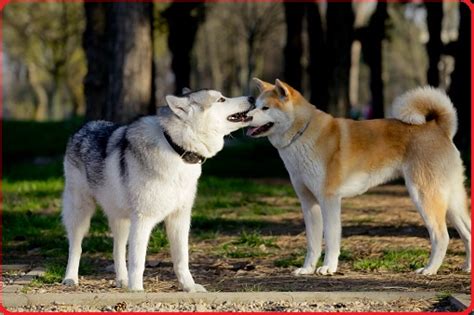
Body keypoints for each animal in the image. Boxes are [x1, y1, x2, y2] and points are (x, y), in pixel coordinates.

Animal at [64, 89, 256, 292]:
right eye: (221, 99)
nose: (252, 97)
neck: (176, 149)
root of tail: (85, 126)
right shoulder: (143, 221)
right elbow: (138, 262)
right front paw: (137, 290)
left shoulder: (179, 219)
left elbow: (181, 259)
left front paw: (189, 287)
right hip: (81, 213)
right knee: (76, 247)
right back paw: (70, 278)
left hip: (121, 220)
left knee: (117, 250)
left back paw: (122, 280)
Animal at [248, 78, 470, 276]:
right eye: (255, 106)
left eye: (265, 108)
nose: (246, 117)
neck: (302, 134)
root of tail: (440, 128)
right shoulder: (308, 202)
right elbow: (312, 243)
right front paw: (307, 269)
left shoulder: (329, 200)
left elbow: (331, 239)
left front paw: (328, 267)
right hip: (450, 200)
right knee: (467, 232)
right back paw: (467, 267)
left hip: (424, 196)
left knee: (441, 236)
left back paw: (429, 269)